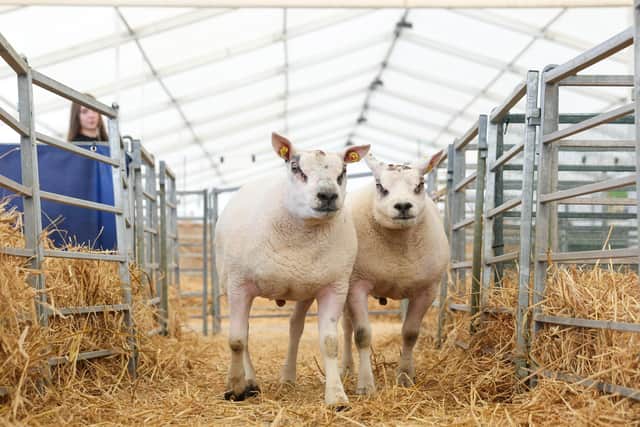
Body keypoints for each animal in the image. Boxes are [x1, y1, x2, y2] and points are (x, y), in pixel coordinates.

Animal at [214, 132, 369, 406]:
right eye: (296, 167)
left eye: (343, 170)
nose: (327, 195)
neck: (300, 238)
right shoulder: (238, 284)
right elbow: (236, 340)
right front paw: (235, 387)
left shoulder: (335, 286)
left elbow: (330, 343)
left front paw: (337, 397)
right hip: (228, 282)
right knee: (244, 334)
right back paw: (250, 381)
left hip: (305, 289)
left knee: (294, 327)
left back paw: (287, 377)